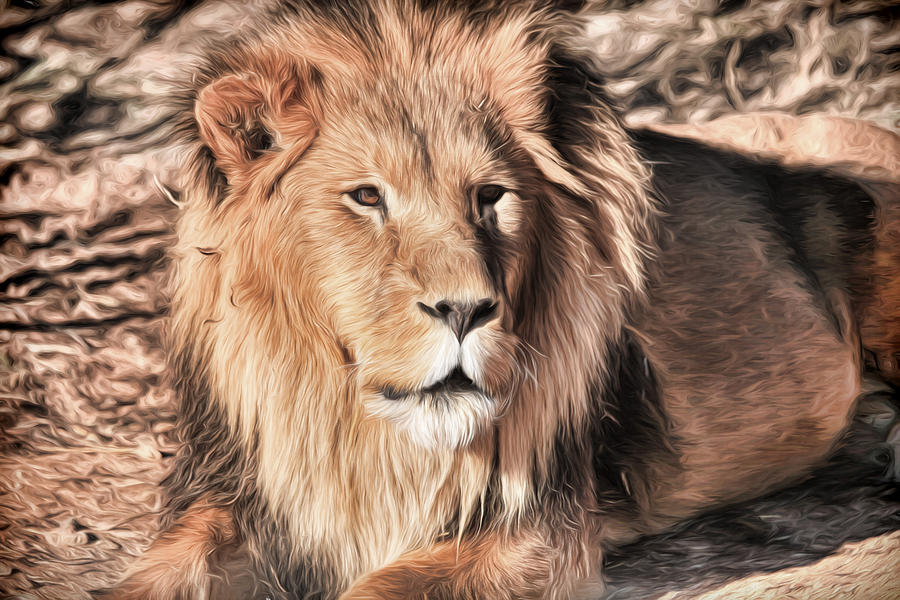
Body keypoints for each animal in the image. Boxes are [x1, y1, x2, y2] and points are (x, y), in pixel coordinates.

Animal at [107, 1, 900, 600]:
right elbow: (160, 573)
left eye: (490, 196)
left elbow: (385, 588)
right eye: (366, 197)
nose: (464, 311)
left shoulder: (540, 533)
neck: (357, 429)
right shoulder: (242, 499)